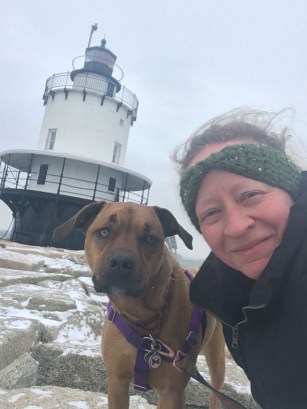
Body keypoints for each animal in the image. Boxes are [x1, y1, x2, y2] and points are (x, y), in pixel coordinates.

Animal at [53, 201, 225, 408]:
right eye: (104, 232)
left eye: (150, 239)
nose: (121, 262)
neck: (141, 318)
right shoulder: (117, 383)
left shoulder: (171, 392)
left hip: (216, 360)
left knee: (215, 393)